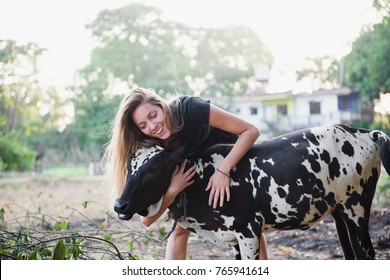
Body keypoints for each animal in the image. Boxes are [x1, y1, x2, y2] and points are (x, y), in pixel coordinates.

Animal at [113, 124, 390, 260]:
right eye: (129, 167)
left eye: (153, 169)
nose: (119, 205)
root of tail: (364, 132)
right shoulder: (235, 238)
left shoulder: (248, 231)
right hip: (339, 212)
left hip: (356, 207)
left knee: (365, 253)